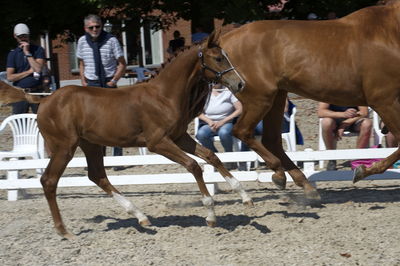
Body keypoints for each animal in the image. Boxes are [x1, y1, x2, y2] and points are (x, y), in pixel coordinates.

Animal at [0, 31, 252, 239]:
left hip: (90, 144)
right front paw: (211, 214)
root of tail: (44, 100)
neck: (164, 96)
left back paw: (141, 217)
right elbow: (193, 166)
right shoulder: (157, 142)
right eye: (218, 58)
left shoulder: (180, 137)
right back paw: (64, 231)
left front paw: (244, 195)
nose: (240, 84)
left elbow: (211, 156)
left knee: (97, 176)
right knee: (49, 180)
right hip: (65, 147)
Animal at [217, 0, 400, 200]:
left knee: (271, 140)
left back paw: (303, 184)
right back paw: (280, 174)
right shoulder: (384, 100)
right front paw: (362, 171)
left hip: (276, 97)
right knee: (243, 131)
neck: (390, 32)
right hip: (259, 99)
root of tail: (224, 39)